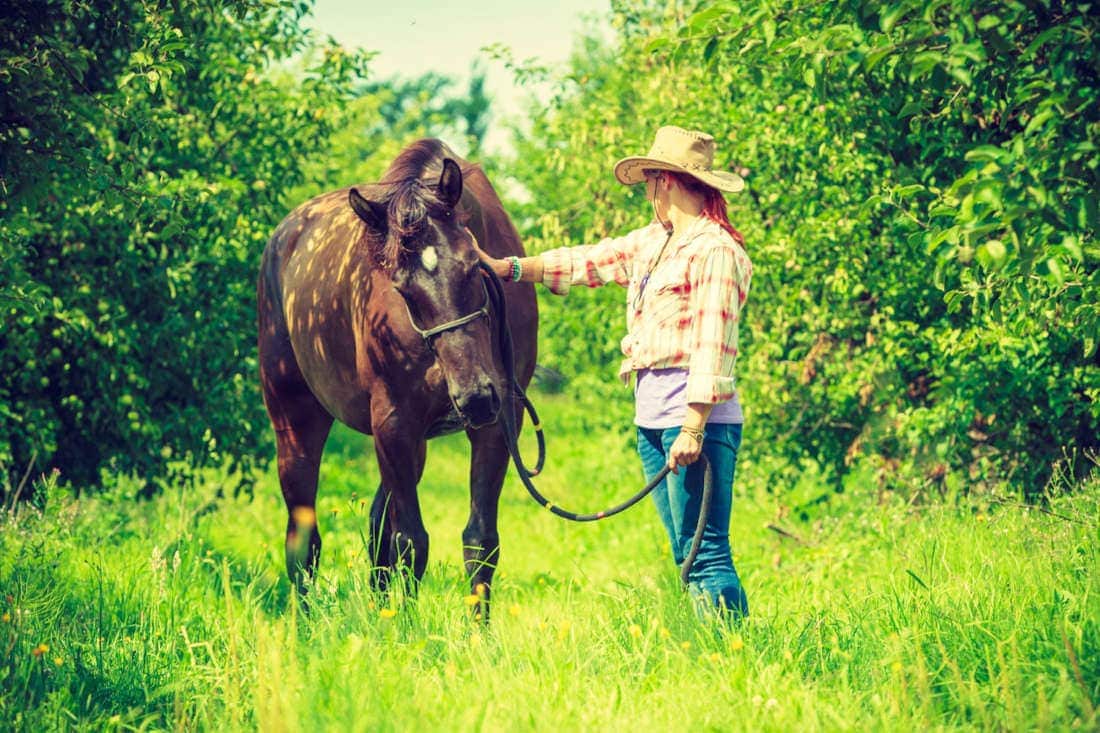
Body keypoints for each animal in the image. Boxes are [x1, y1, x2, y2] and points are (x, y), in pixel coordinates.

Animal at [257, 139, 537, 615]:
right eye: (403, 288)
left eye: (472, 266)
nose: (476, 397)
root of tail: (283, 238)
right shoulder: (394, 422)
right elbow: (411, 542)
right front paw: (404, 627)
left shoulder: (499, 424)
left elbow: (479, 542)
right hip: (295, 424)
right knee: (304, 541)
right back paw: (306, 623)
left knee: (375, 528)